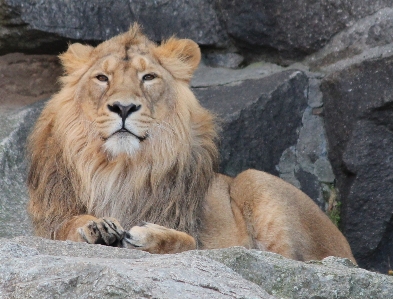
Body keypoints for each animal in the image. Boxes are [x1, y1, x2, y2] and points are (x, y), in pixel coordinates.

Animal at [27, 25, 356, 264]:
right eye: (102, 78)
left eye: (148, 77)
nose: (123, 107)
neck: (121, 168)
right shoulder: (52, 221)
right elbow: (67, 226)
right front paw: (97, 227)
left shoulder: (196, 236)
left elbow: (188, 241)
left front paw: (150, 235)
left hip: (254, 180)